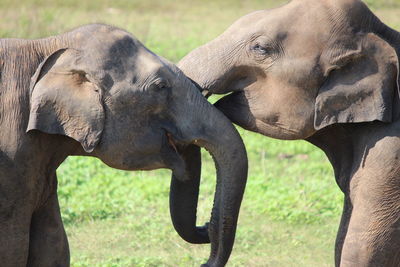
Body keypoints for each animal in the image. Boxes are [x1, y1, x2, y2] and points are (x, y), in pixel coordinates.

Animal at [0, 23, 248, 267]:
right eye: (161, 86)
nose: (206, 227)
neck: (49, 45)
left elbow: (54, 247)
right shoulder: (12, 167)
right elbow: (13, 250)